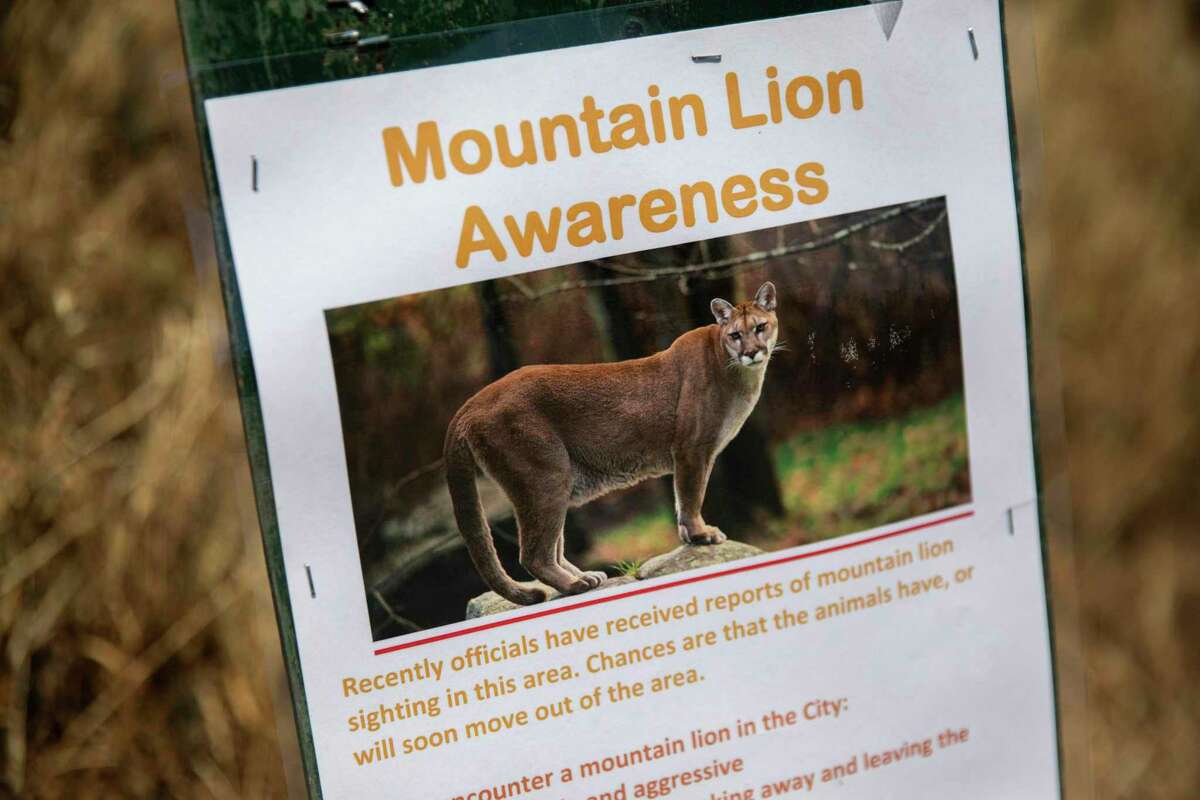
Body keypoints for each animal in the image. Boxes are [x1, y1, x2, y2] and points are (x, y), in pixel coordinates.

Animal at [441, 284, 777, 604]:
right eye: (735, 334)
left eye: (760, 327)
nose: (752, 352)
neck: (738, 372)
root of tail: (471, 402)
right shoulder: (692, 450)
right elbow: (691, 496)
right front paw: (701, 534)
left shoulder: (694, 454)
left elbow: (683, 498)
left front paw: (691, 536)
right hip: (546, 477)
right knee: (533, 554)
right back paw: (574, 584)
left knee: (553, 547)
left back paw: (586, 576)